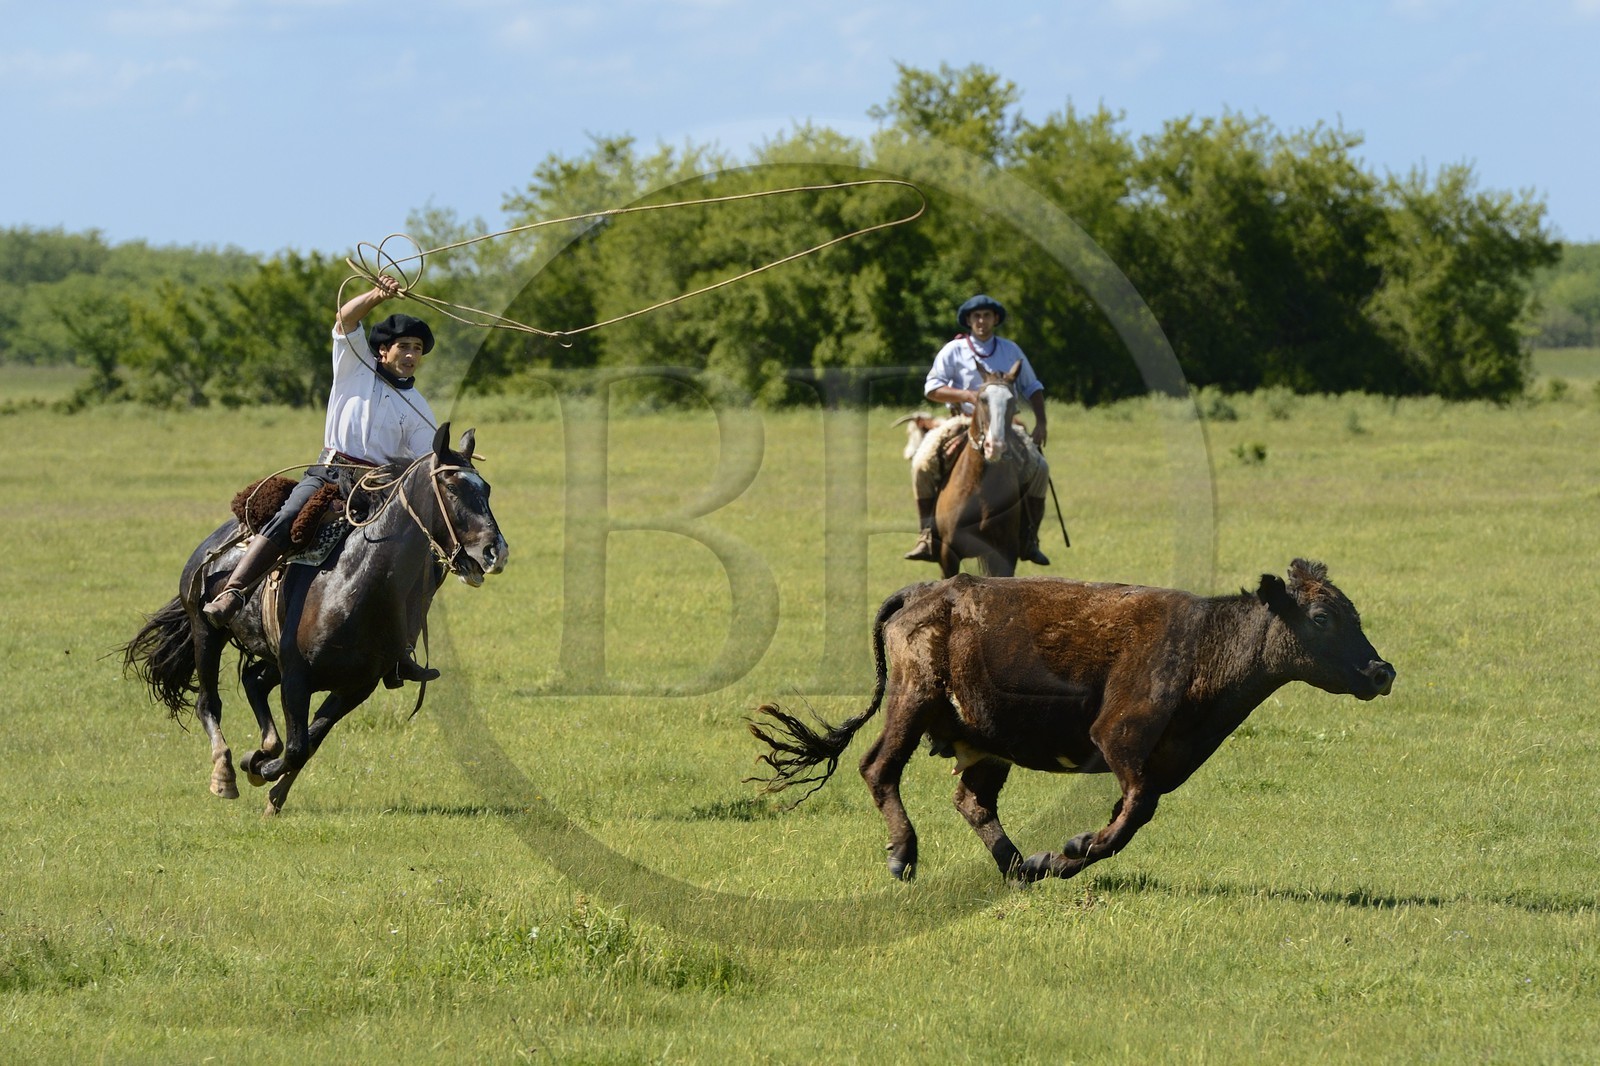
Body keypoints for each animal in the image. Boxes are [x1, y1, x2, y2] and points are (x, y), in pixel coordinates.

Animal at [748, 560, 1395, 882]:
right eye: (1321, 618)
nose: (1382, 670)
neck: (1207, 643)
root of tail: (928, 590)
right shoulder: (1119, 740)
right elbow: (1133, 813)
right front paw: (1072, 849)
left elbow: (1127, 816)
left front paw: (1057, 857)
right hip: (913, 701)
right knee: (878, 767)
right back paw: (903, 855)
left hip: (985, 741)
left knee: (973, 801)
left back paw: (1019, 867)